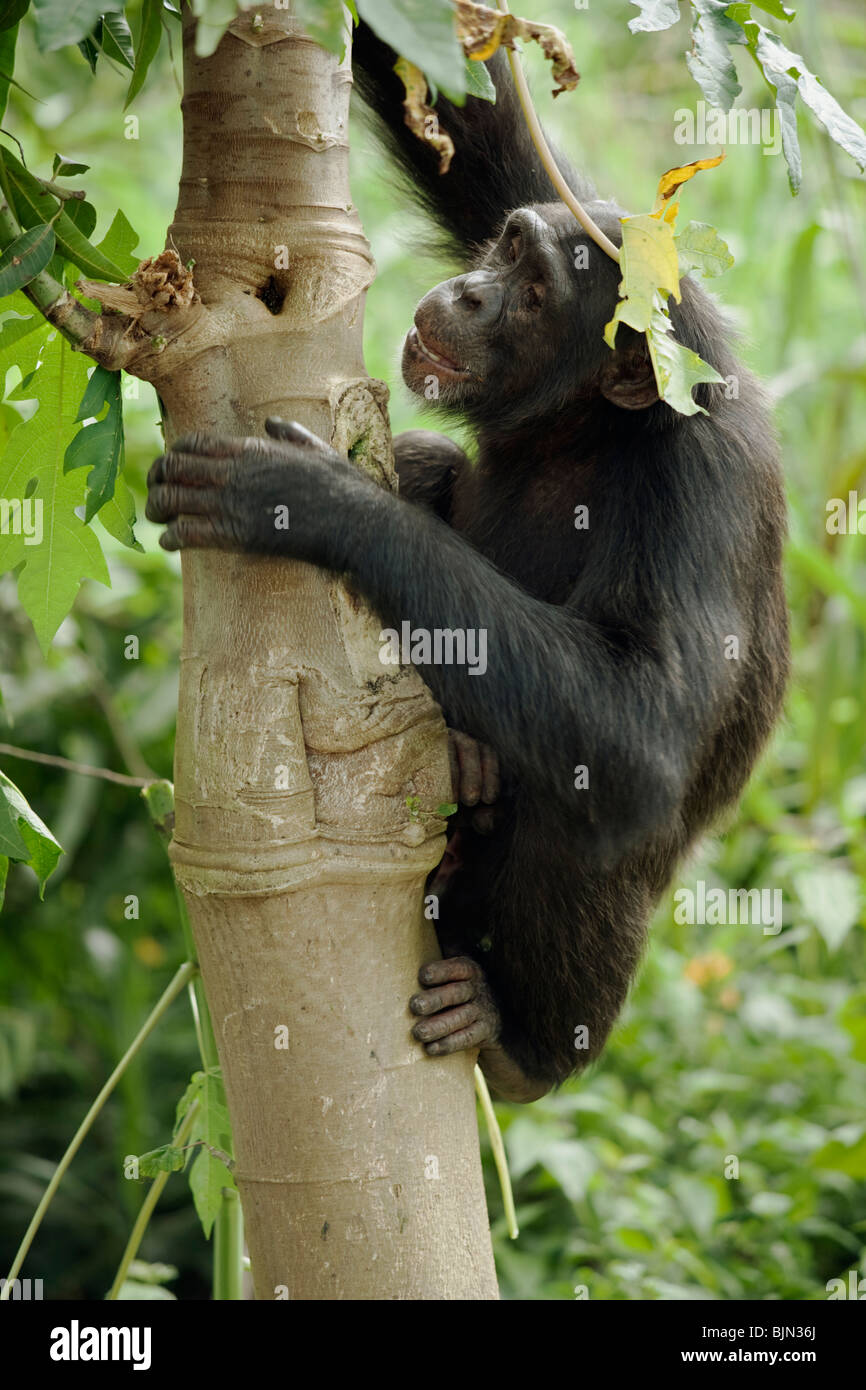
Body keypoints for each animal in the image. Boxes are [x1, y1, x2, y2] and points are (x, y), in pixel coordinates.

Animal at [145, 21, 789, 1100]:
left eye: (530, 294)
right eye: (512, 242)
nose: (475, 289)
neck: (583, 429)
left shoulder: (701, 491)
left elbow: (643, 728)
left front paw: (319, 504)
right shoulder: (544, 189)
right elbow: (469, 116)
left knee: (582, 814)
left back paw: (512, 1033)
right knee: (432, 461)